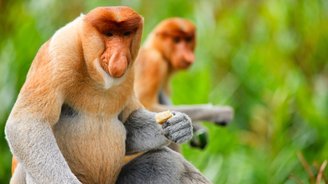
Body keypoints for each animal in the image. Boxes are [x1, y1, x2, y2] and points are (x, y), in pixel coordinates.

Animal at [5, 6, 209, 183]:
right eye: (109, 34)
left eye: (126, 34)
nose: (119, 56)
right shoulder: (60, 52)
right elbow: (27, 123)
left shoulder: (131, 71)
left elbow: (129, 126)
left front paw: (180, 125)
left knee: (166, 163)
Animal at [134, 17, 233, 151]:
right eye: (176, 40)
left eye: (188, 40)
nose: (187, 54)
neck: (156, 50)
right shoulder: (153, 63)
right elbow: (147, 106)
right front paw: (219, 113)